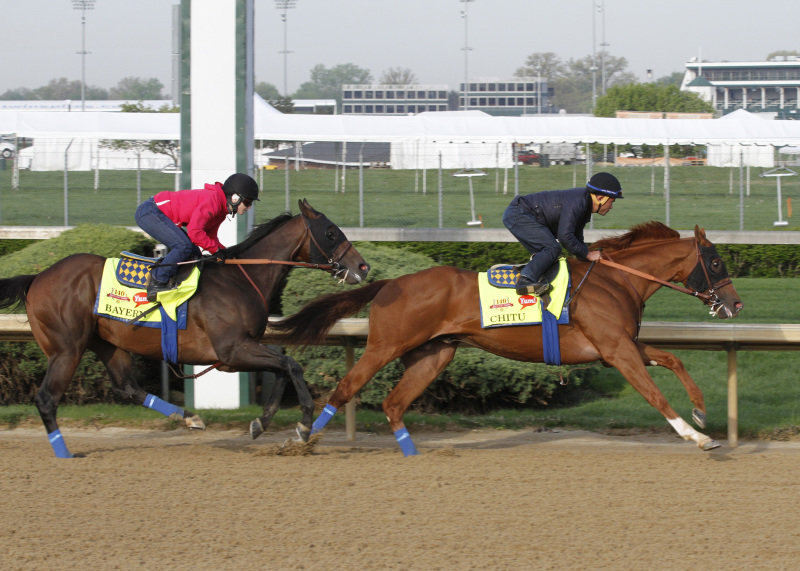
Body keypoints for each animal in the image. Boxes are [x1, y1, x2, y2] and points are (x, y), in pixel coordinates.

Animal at [0, 199, 368, 458]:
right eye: (331, 232)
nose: (362, 266)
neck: (241, 278)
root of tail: (37, 277)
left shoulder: (240, 350)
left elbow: (282, 367)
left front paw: (261, 423)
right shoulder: (231, 351)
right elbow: (291, 364)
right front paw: (304, 425)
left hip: (107, 342)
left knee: (127, 387)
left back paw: (189, 417)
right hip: (67, 349)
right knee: (47, 398)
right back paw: (64, 452)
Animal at [274, 222, 744, 456]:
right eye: (716, 262)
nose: (735, 305)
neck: (617, 280)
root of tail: (392, 283)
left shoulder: (623, 346)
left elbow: (674, 360)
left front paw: (702, 412)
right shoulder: (617, 351)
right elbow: (655, 395)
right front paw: (696, 436)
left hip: (434, 355)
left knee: (393, 403)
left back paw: (412, 454)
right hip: (386, 345)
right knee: (346, 387)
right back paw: (300, 438)